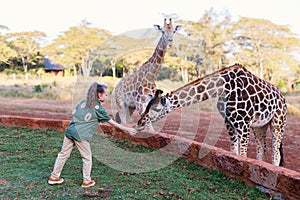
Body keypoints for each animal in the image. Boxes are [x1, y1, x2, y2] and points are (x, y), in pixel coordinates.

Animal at [137, 63, 288, 166]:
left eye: (156, 109)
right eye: (147, 105)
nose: (139, 123)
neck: (224, 88)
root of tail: (283, 98)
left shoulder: (243, 123)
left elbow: (243, 155)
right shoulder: (229, 122)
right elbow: (234, 152)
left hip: (278, 122)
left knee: (276, 154)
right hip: (259, 125)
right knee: (262, 150)